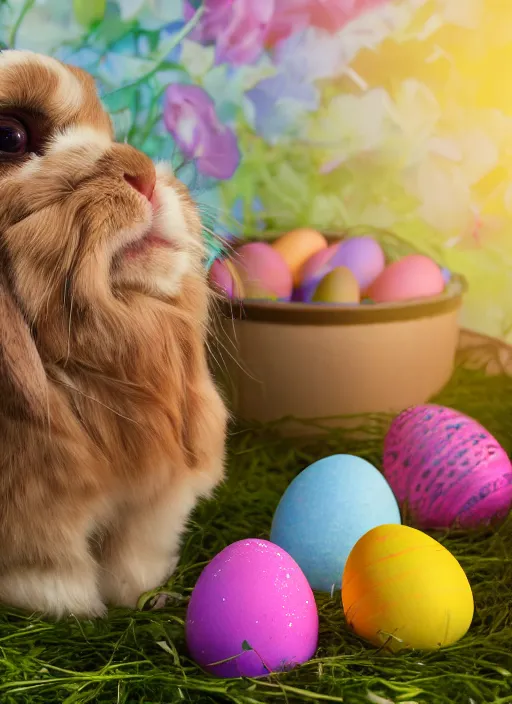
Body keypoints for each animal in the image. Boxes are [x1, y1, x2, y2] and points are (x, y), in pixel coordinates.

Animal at [0, 49, 226, 620]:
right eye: (9, 136)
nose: (145, 176)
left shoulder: (153, 502)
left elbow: (136, 555)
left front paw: (146, 596)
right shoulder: (37, 509)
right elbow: (50, 571)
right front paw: (78, 611)